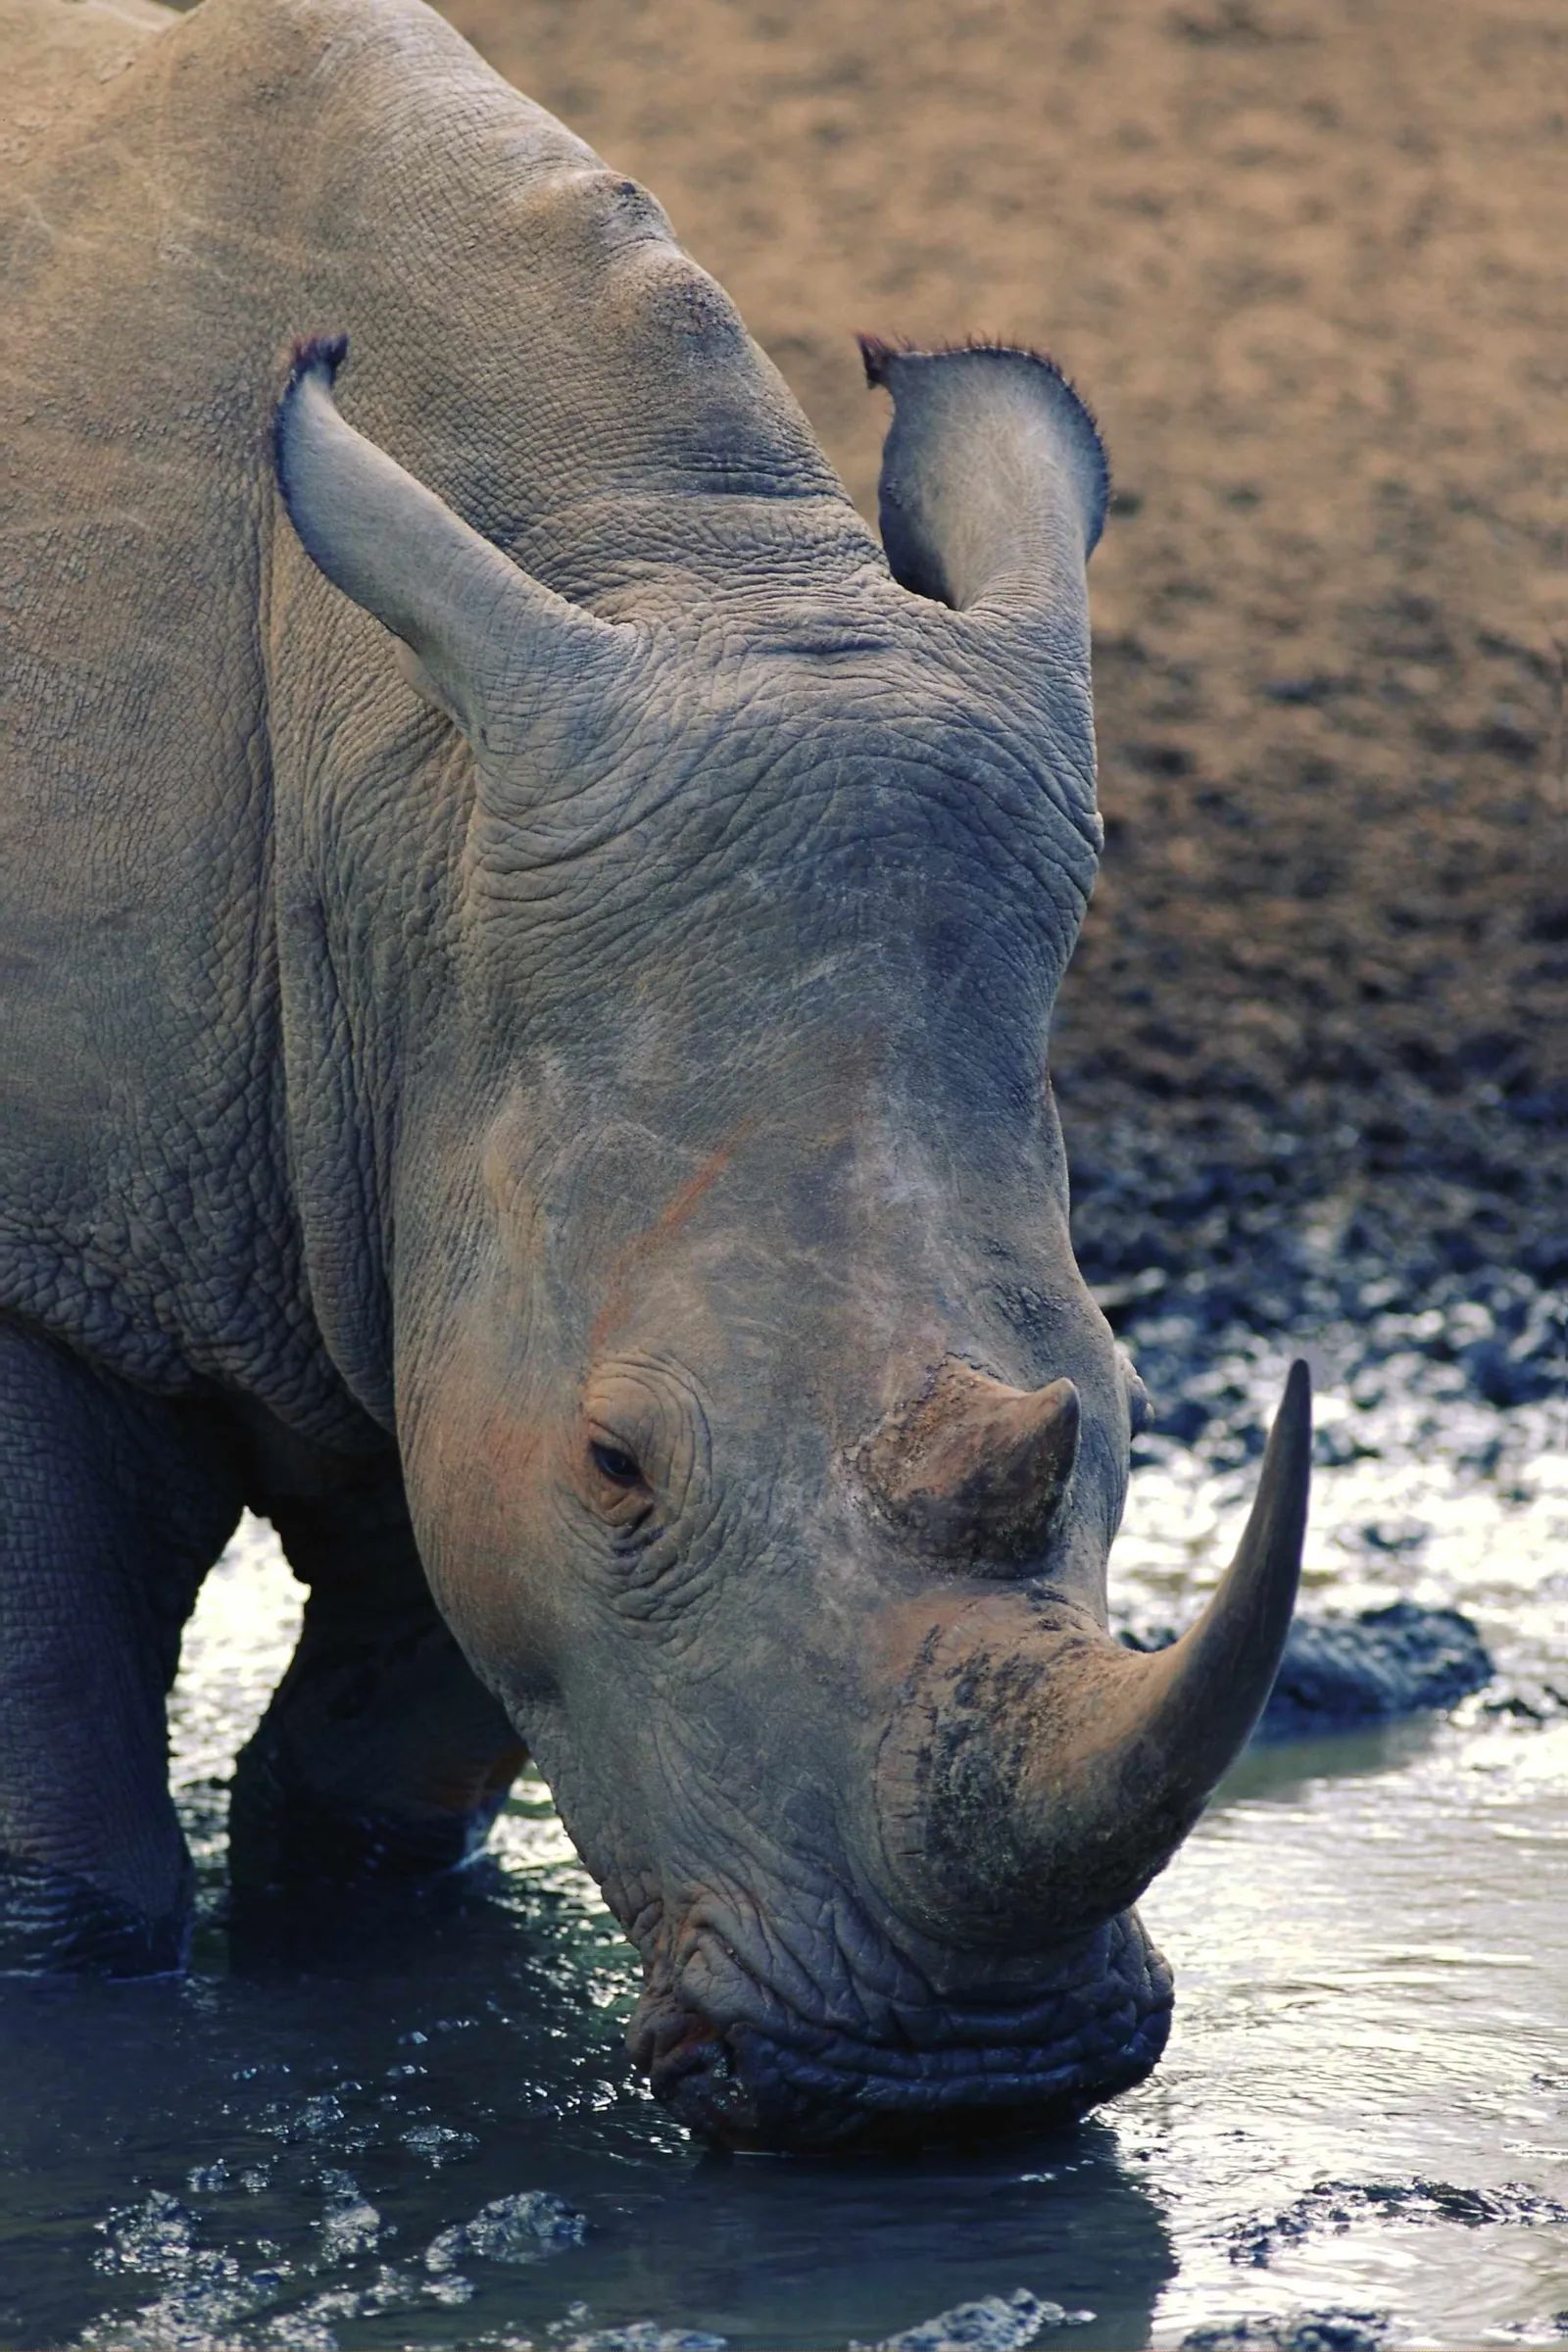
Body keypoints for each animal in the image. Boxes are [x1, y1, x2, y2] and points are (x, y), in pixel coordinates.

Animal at [0, 0, 1310, 2148]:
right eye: (622, 1464)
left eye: (1125, 1406)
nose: (965, 2082)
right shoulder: (54, 1256)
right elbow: (73, 1863)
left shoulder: (439, 1165)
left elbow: (396, 1736)